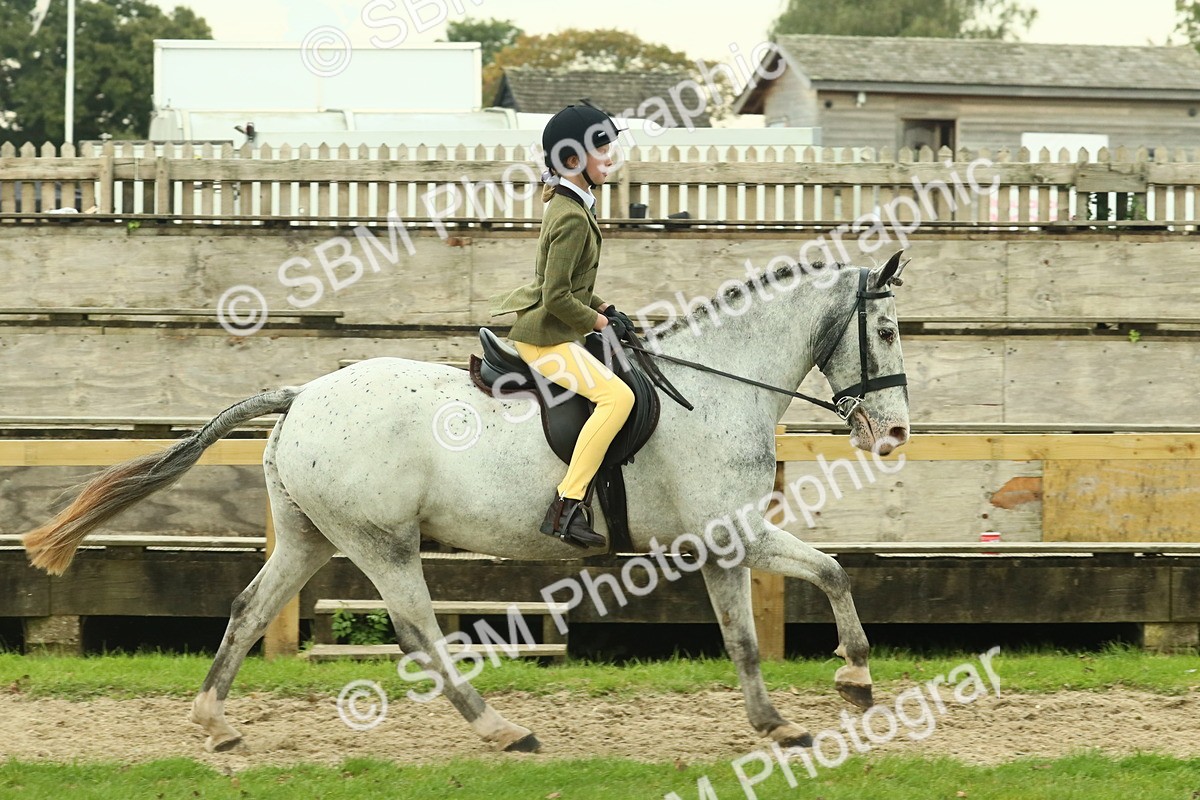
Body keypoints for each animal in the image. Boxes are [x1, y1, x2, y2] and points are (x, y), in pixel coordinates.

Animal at [23, 251, 911, 755]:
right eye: (888, 332)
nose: (897, 431)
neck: (719, 385)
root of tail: (303, 393)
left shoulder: (727, 541)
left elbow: (766, 624)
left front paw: (798, 712)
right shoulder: (733, 535)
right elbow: (813, 589)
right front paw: (838, 690)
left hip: (310, 538)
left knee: (248, 609)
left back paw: (214, 724)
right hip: (380, 541)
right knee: (420, 630)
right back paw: (500, 730)